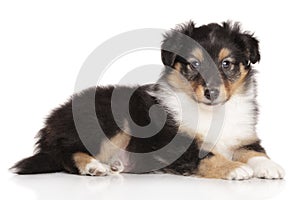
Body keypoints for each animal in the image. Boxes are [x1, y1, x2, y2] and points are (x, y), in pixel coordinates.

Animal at [11, 21, 284, 180]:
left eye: (226, 64)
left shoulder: (244, 135)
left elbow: (253, 151)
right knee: (64, 152)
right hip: (109, 121)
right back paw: (93, 166)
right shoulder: (177, 143)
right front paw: (235, 168)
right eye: (193, 64)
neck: (211, 112)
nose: (212, 93)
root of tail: (51, 122)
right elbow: (207, 156)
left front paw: (269, 166)